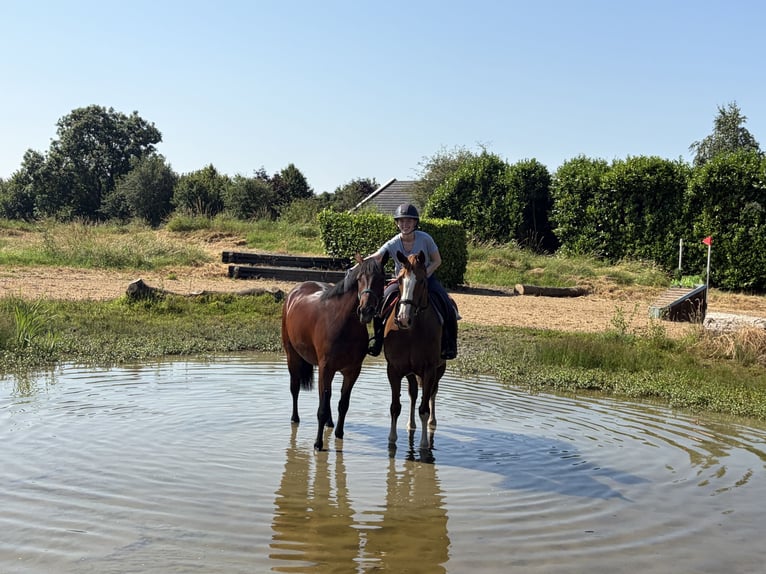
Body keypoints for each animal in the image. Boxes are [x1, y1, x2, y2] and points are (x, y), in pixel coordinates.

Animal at [281, 254, 385, 451]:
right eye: (359, 279)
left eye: (381, 279)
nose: (366, 310)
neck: (344, 324)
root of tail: (295, 291)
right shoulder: (326, 368)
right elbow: (321, 408)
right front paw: (318, 444)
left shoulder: (352, 371)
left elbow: (343, 404)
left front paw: (339, 434)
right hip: (292, 356)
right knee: (295, 388)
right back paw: (294, 418)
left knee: (326, 398)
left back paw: (330, 424)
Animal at [383, 250, 446, 451]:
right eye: (400, 280)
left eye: (422, 281)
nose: (403, 318)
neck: (411, 331)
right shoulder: (394, 369)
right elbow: (395, 406)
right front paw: (392, 440)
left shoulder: (429, 370)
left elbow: (424, 409)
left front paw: (424, 444)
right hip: (411, 372)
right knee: (413, 394)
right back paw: (411, 425)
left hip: (439, 369)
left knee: (432, 393)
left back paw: (432, 423)